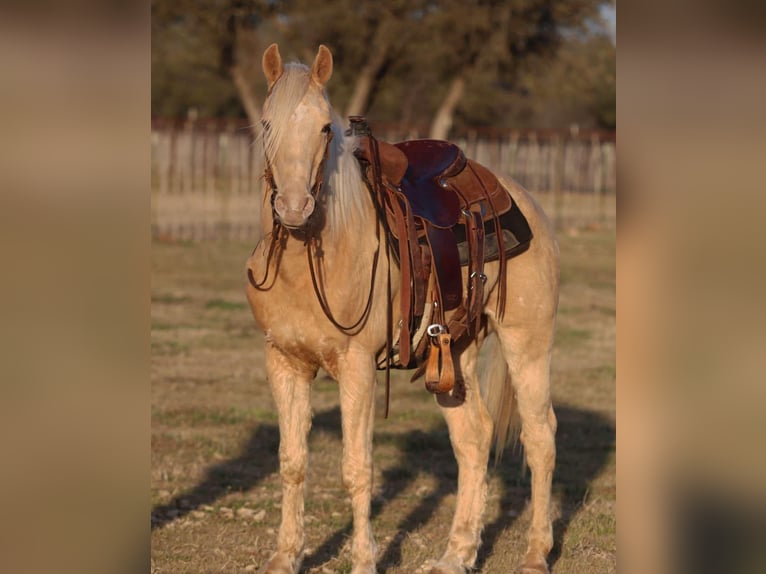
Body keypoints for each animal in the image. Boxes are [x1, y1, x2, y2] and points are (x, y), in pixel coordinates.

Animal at [245, 44, 559, 574]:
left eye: (325, 128)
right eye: (267, 124)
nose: (293, 206)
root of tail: (523, 200)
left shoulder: (356, 367)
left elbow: (357, 469)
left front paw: (364, 561)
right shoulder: (283, 362)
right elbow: (292, 462)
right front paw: (285, 557)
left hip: (527, 343)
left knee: (539, 437)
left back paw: (536, 554)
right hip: (455, 355)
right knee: (474, 439)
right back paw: (456, 554)